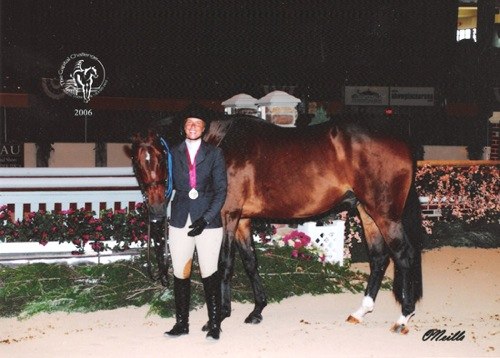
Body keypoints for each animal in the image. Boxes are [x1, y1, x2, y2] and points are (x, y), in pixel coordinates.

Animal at [129, 115, 422, 336]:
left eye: (159, 156)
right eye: (137, 162)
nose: (156, 210)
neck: (220, 145)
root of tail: (402, 143)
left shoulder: (228, 215)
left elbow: (225, 265)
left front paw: (219, 317)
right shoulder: (243, 220)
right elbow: (250, 262)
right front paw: (257, 310)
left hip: (385, 214)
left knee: (403, 255)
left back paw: (403, 318)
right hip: (366, 211)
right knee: (379, 258)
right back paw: (360, 312)